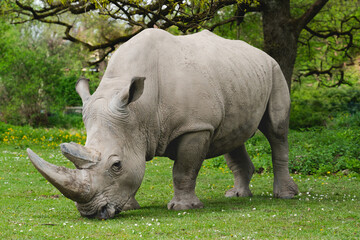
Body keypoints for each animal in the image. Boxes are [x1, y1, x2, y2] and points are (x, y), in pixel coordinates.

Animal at [27, 28, 298, 219]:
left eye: (116, 165)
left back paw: (286, 196)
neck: (138, 112)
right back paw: (237, 195)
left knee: (276, 131)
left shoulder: (195, 126)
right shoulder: (135, 130)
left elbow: (184, 170)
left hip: (274, 71)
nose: (92, 213)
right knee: (232, 135)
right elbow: (138, 170)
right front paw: (130, 206)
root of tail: (260, 52)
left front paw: (183, 208)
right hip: (237, 77)